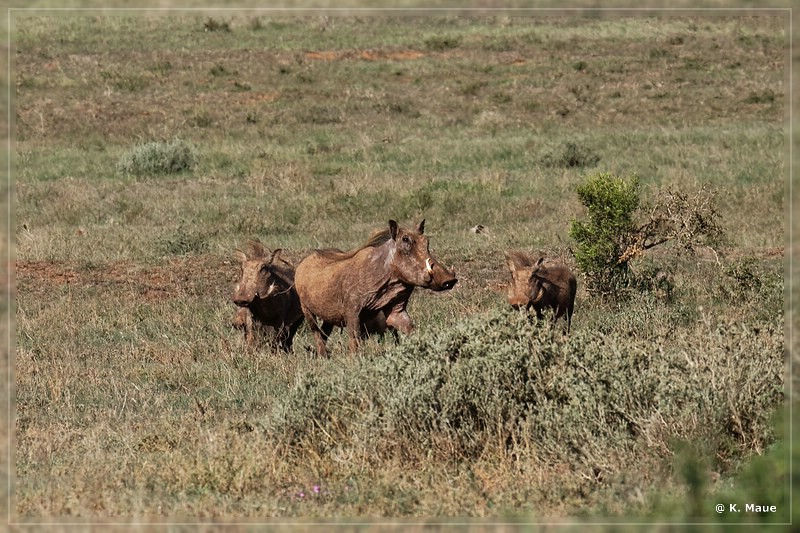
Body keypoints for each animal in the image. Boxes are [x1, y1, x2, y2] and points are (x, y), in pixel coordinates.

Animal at [294, 220, 456, 358]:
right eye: (405, 240)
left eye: (426, 241)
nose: (450, 280)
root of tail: (302, 263)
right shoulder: (352, 310)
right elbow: (354, 339)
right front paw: (355, 362)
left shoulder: (396, 310)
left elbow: (411, 329)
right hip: (306, 310)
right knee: (316, 333)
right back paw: (323, 358)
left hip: (330, 316)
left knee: (324, 333)